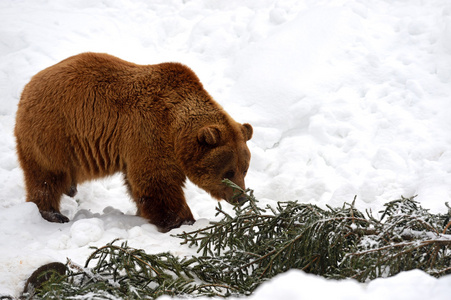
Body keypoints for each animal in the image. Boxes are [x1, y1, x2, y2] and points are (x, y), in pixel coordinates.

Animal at [15, 52, 254, 232]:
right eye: (228, 172)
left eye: (245, 169)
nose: (242, 197)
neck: (174, 130)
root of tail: (28, 86)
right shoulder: (149, 132)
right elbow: (157, 182)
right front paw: (183, 221)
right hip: (55, 133)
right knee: (46, 176)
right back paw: (53, 214)